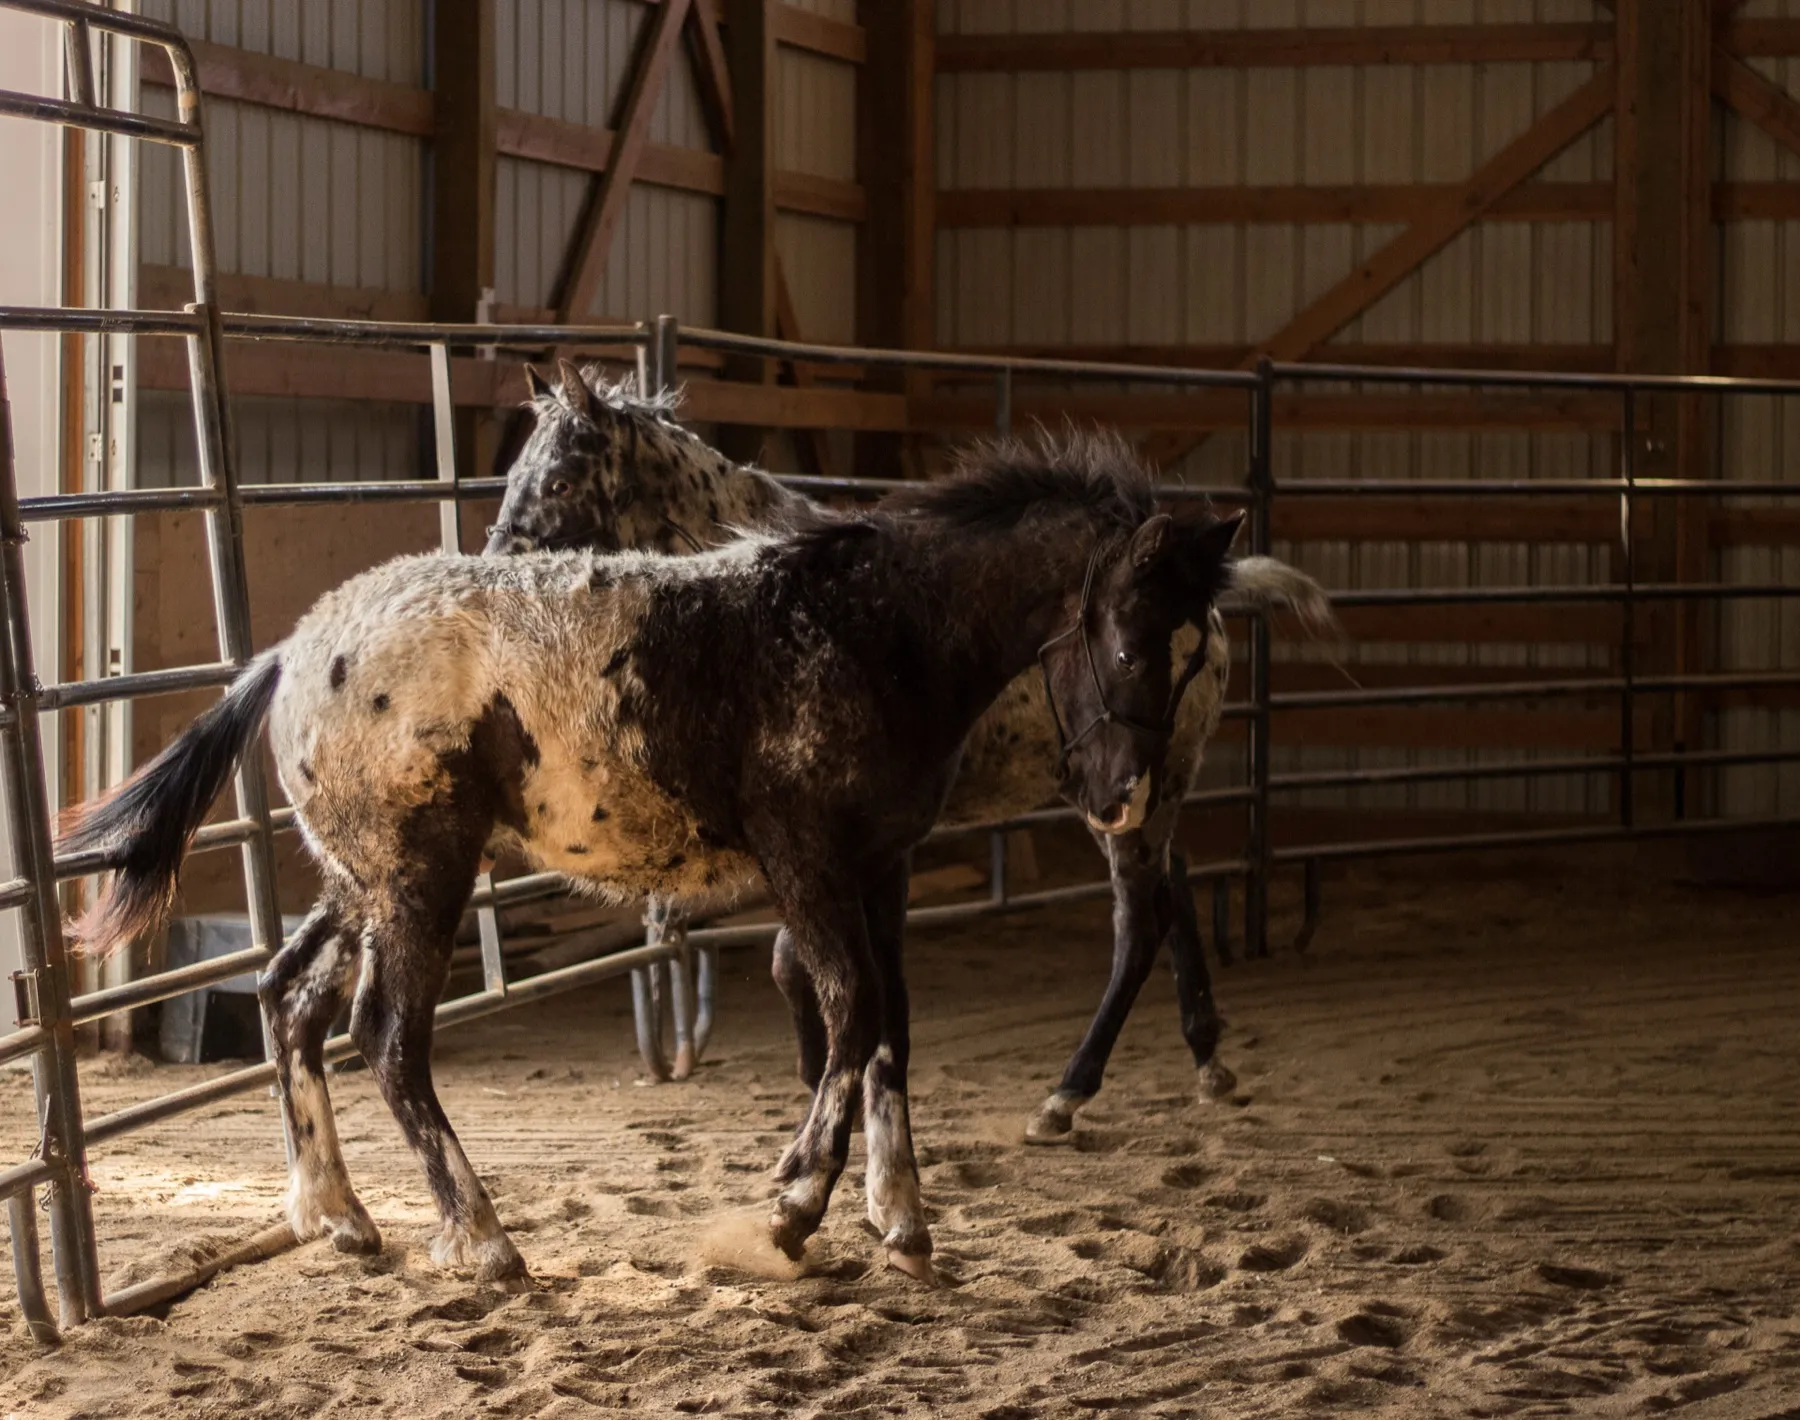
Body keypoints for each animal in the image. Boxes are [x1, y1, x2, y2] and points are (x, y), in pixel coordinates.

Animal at [59, 437, 1251, 1285]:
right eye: (1132, 641)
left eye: (1197, 650)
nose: (1121, 795)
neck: (871, 629)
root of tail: (293, 650)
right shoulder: (807, 860)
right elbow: (854, 1011)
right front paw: (791, 1214)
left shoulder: (883, 866)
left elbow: (891, 1033)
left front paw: (904, 1222)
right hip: (417, 881)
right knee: (385, 1039)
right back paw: (484, 1241)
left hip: (361, 883)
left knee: (289, 1000)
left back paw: (342, 1218)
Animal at [485, 362, 1338, 1142]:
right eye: (514, 473)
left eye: (560, 480)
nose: (494, 563)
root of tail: (1216, 619)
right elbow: (799, 964)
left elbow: (799, 963)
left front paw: (831, 1095)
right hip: (1137, 793)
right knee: (1174, 889)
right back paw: (1208, 1060)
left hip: (1132, 796)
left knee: (1137, 924)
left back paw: (1067, 1095)